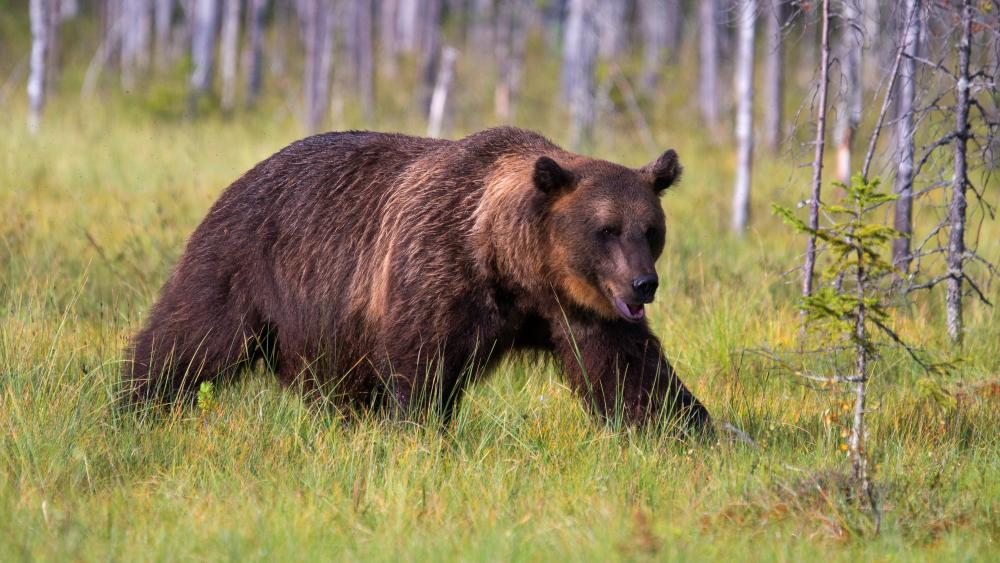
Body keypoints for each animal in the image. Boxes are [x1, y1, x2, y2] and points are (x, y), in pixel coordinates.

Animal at [123, 127, 710, 431]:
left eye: (651, 229)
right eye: (606, 229)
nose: (644, 284)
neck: (510, 264)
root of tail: (242, 176)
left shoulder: (578, 307)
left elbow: (630, 374)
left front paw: (693, 429)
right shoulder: (436, 266)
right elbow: (421, 363)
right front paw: (419, 431)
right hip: (246, 262)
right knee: (190, 336)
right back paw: (134, 403)